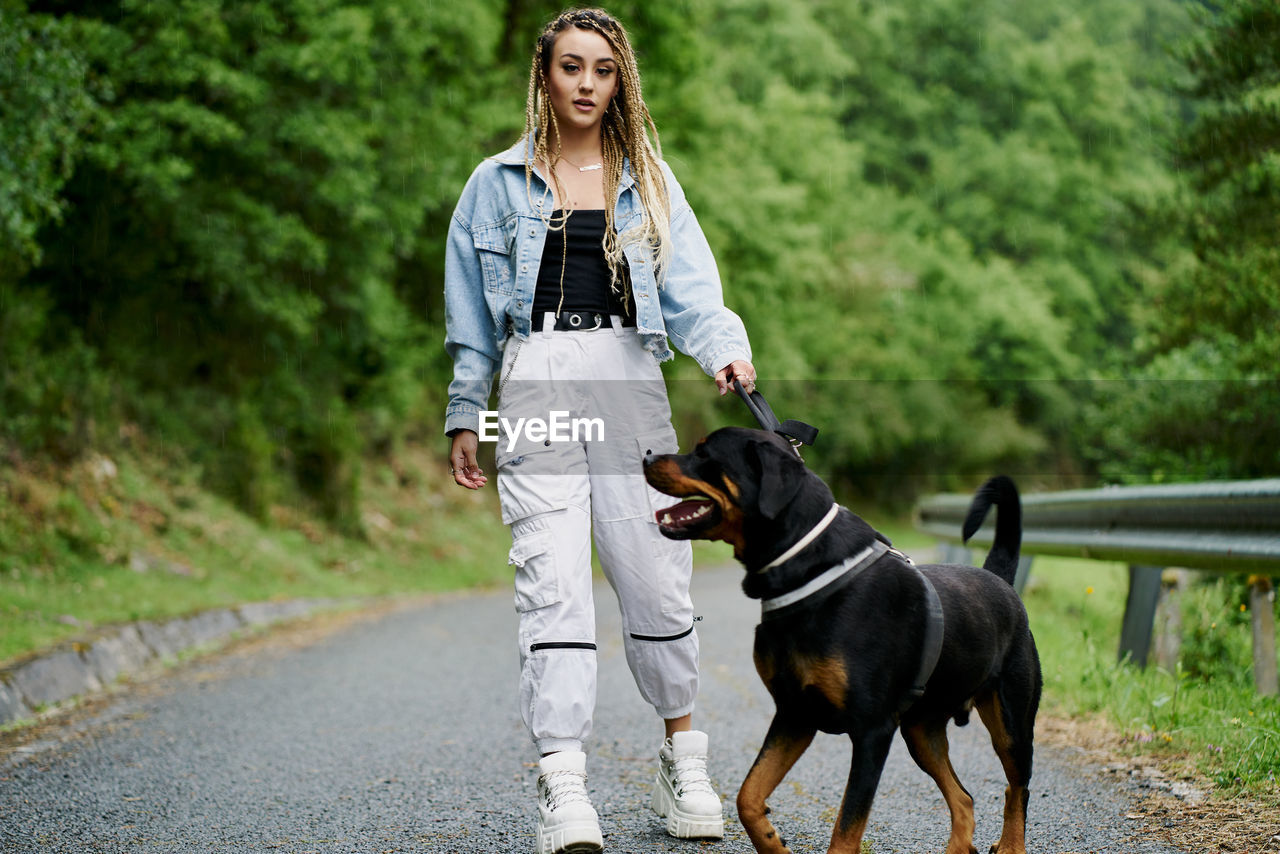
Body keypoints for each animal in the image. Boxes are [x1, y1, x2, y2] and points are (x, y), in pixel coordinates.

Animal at [645, 427, 1044, 854]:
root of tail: (1001, 581)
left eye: (705, 454)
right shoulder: (794, 714)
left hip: (1011, 724)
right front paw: (773, 842)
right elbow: (748, 796)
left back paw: (1012, 845)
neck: (813, 574)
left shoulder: (872, 732)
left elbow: (848, 825)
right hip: (922, 732)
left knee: (1017, 789)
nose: (647, 456)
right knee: (964, 798)